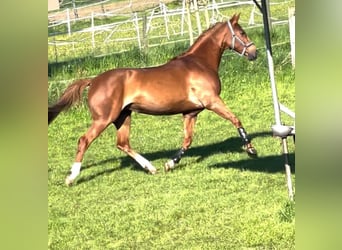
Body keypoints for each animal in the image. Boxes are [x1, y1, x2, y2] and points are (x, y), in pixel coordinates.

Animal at [48, 14, 256, 186]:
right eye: (242, 33)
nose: (254, 53)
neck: (199, 63)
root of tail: (94, 80)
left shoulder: (190, 113)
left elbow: (187, 140)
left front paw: (170, 164)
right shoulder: (212, 101)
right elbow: (235, 119)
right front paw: (251, 149)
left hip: (123, 116)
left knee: (122, 143)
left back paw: (151, 167)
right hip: (104, 119)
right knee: (84, 140)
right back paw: (71, 177)